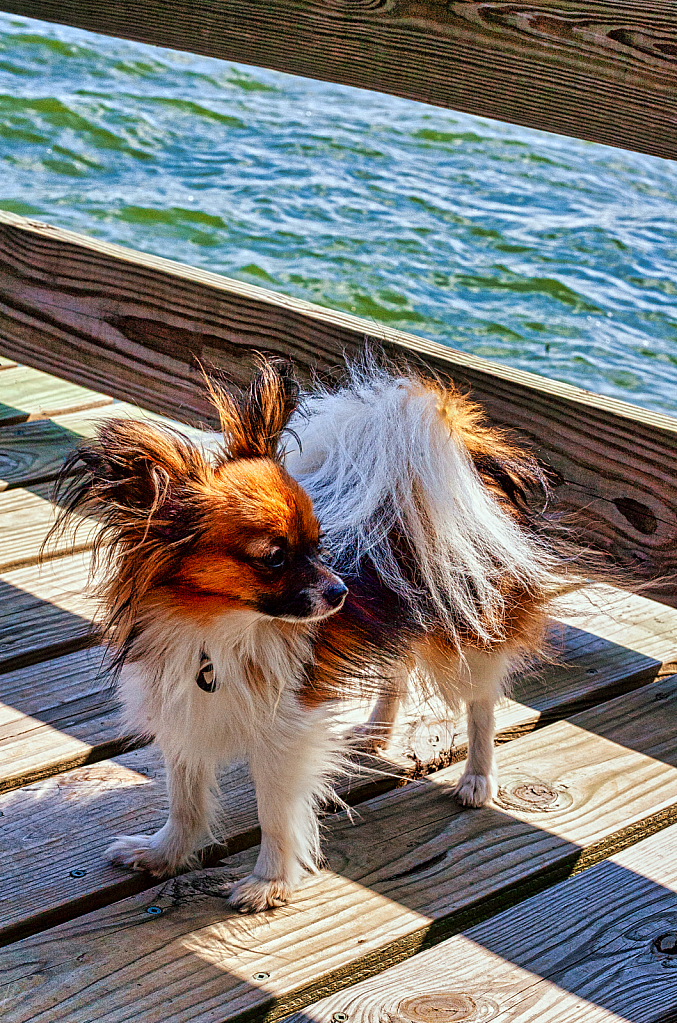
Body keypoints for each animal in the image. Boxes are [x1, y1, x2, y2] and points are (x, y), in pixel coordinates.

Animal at [50, 358, 576, 912]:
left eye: (320, 545)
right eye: (275, 558)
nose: (342, 590)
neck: (219, 630)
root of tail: (467, 461)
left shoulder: (285, 734)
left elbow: (276, 813)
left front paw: (269, 882)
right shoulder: (187, 712)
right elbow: (185, 799)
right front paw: (163, 853)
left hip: (469, 633)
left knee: (480, 704)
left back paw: (478, 777)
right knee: (396, 668)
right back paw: (377, 731)